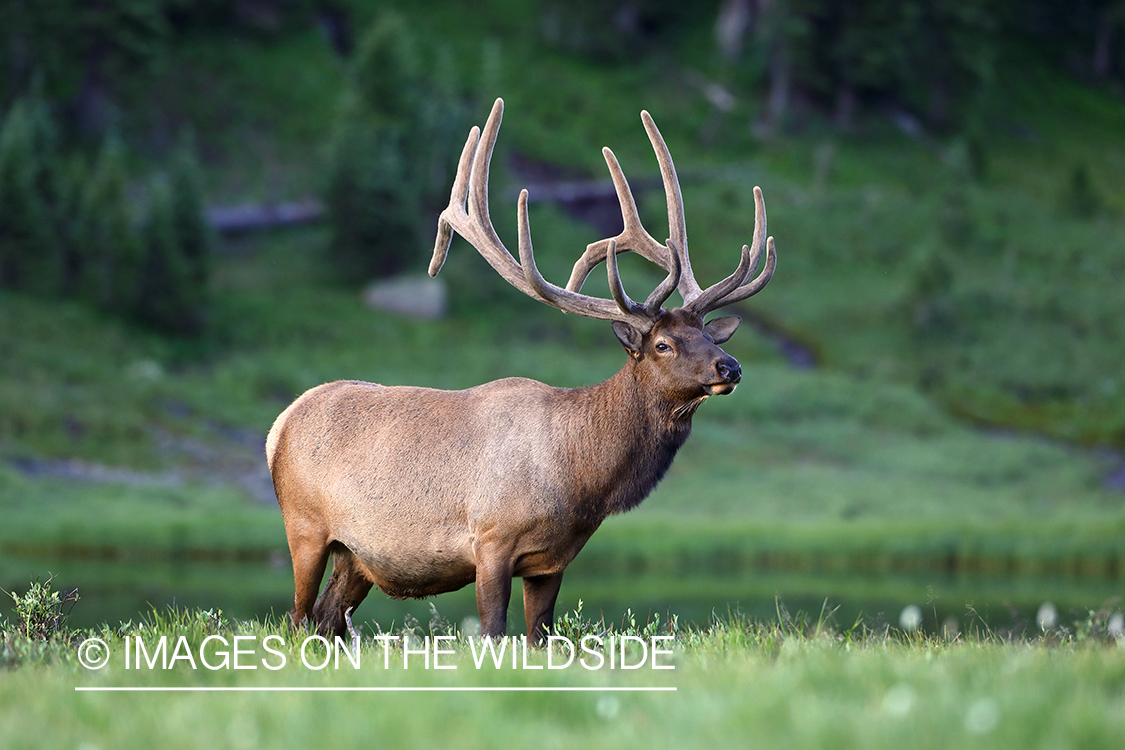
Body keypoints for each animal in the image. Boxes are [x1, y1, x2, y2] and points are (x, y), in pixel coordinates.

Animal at [265, 96, 774, 643]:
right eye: (662, 344)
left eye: (710, 336)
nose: (730, 366)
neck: (581, 479)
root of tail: (280, 425)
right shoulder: (490, 539)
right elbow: (492, 629)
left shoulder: (552, 562)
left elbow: (539, 636)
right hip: (304, 526)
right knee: (297, 616)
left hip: (357, 557)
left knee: (326, 618)